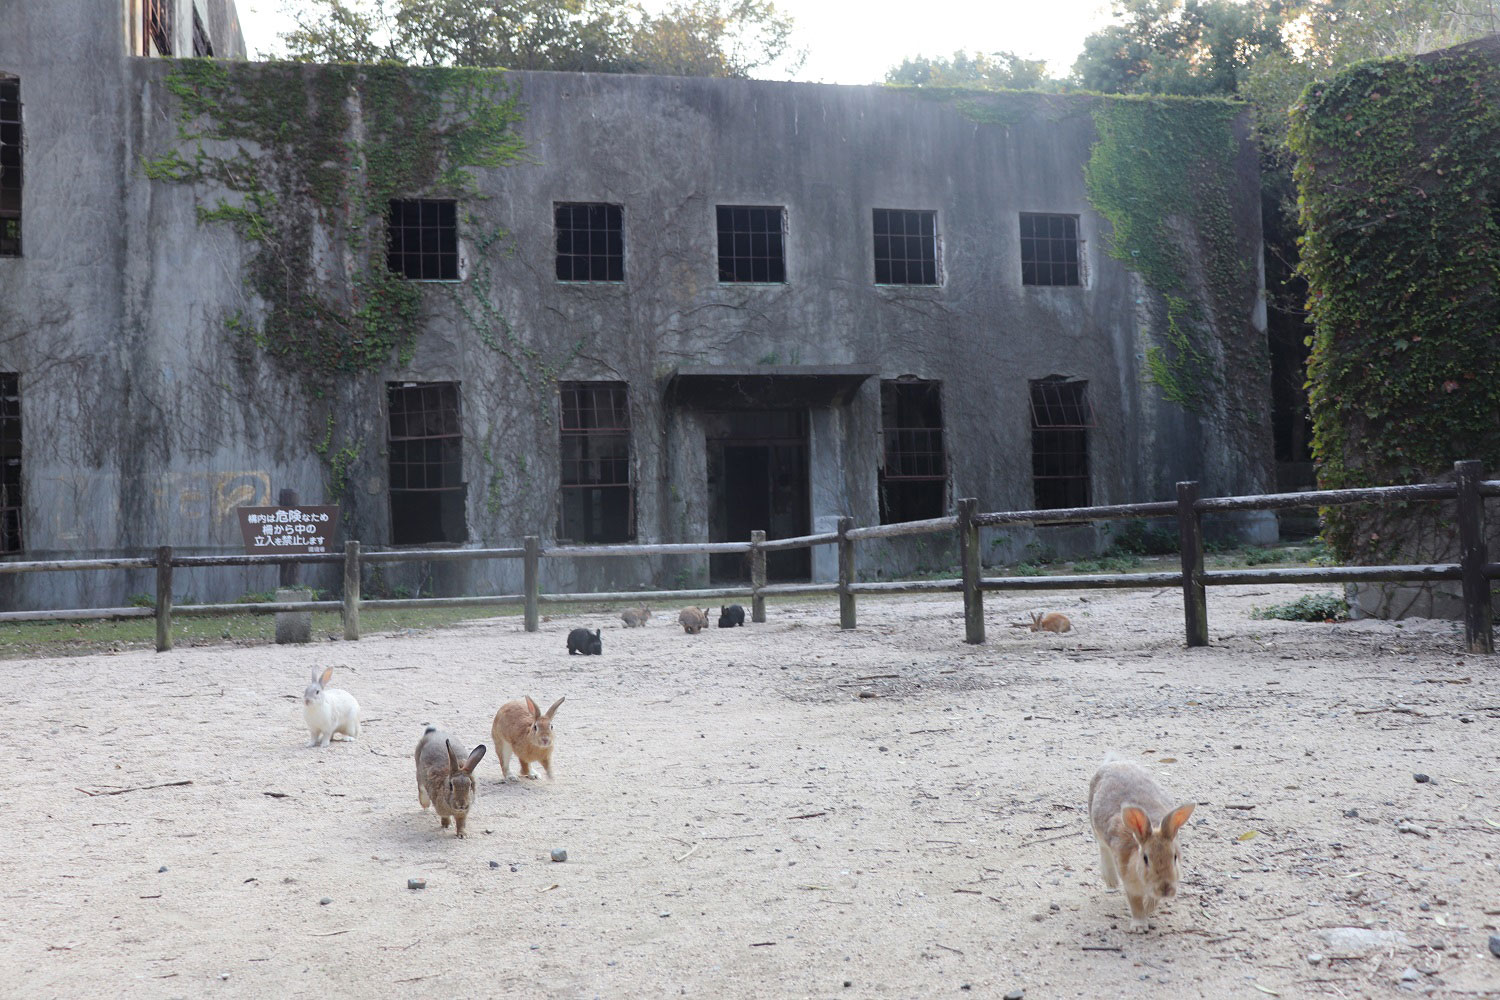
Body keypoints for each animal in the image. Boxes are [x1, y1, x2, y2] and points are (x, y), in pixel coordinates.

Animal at [1092, 758, 1194, 929]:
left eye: (1175, 857)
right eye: (1145, 858)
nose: (1165, 889)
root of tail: (1115, 763)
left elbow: (1153, 901)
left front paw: (1148, 910)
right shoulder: (1130, 884)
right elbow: (1135, 904)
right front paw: (1139, 925)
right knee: (1103, 847)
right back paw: (1111, 881)